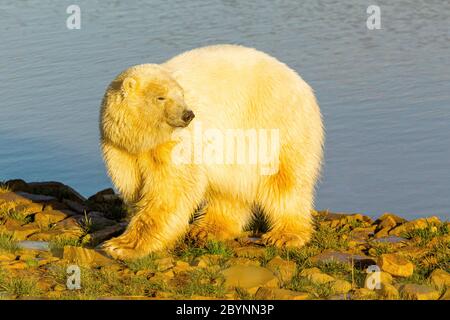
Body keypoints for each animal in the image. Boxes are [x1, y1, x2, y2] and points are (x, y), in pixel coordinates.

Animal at [99, 44, 324, 260]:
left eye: (181, 95)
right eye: (160, 97)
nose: (188, 115)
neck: (143, 139)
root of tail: (302, 85)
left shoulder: (175, 143)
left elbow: (171, 189)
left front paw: (121, 246)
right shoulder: (120, 148)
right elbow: (136, 185)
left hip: (276, 124)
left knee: (286, 183)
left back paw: (285, 235)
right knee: (229, 189)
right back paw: (207, 229)